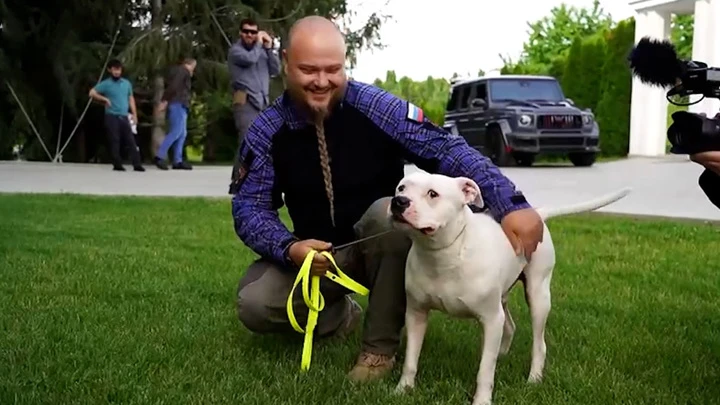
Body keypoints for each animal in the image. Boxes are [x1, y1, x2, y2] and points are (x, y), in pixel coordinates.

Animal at [388, 172, 632, 404]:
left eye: (433, 194)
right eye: (401, 187)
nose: (399, 201)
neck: (443, 254)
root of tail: (537, 214)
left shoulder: (490, 318)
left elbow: (485, 371)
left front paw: (482, 400)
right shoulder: (416, 314)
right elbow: (411, 360)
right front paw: (402, 390)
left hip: (538, 296)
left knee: (538, 344)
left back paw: (533, 378)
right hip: (502, 299)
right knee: (509, 327)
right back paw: (502, 354)